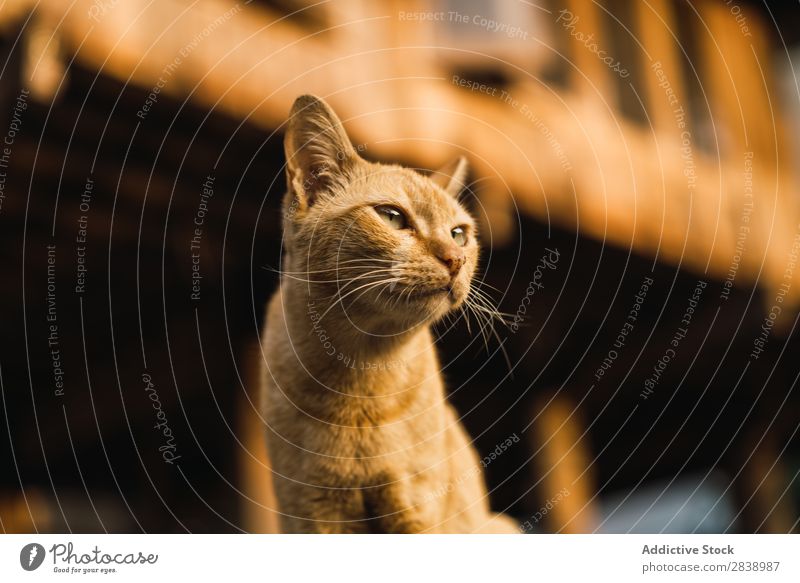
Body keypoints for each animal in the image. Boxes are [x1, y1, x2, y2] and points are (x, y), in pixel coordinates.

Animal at [260, 94, 516, 532]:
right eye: (393, 217)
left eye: (459, 234)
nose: (455, 259)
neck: (361, 377)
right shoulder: (315, 515)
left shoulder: (416, 512)